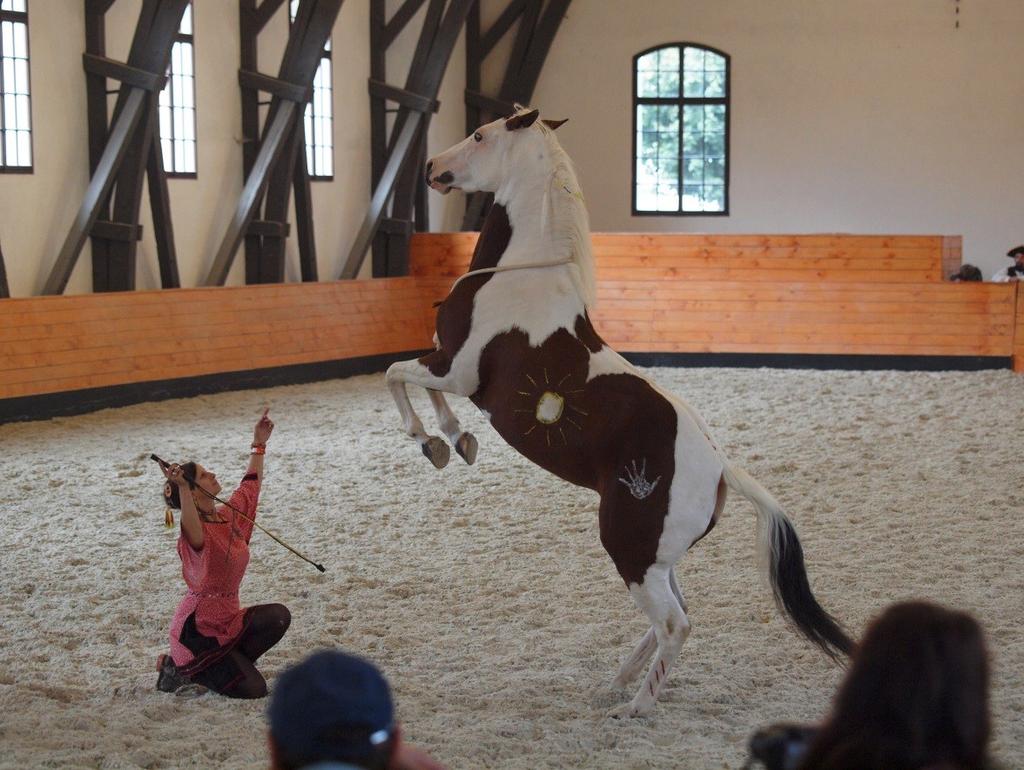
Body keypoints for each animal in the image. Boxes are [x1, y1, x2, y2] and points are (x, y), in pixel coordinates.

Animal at [385, 105, 847, 720]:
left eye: (480, 135)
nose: (434, 167)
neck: (519, 276)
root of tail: (722, 470)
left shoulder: (456, 370)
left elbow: (394, 373)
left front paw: (432, 441)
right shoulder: (448, 368)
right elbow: (417, 385)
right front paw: (455, 441)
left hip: (630, 547)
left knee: (675, 624)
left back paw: (634, 708)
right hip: (656, 557)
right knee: (673, 616)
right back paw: (617, 682)